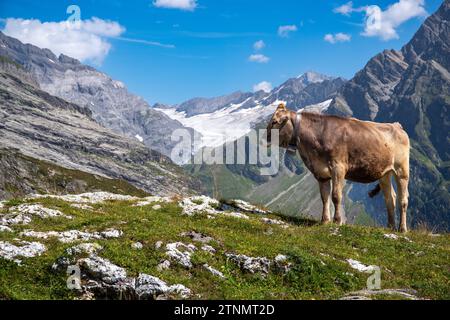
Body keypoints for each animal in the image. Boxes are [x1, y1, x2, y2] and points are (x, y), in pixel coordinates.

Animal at [268, 104, 412, 232]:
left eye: (274, 122)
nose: (266, 137)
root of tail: (396, 125)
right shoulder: (321, 173)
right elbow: (324, 197)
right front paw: (325, 220)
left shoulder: (338, 167)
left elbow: (336, 195)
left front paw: (337, 221)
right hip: (384, 173)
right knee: (390, 199)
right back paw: (390, 227)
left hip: (401, 169)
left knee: (403, 199)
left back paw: (402, 228)